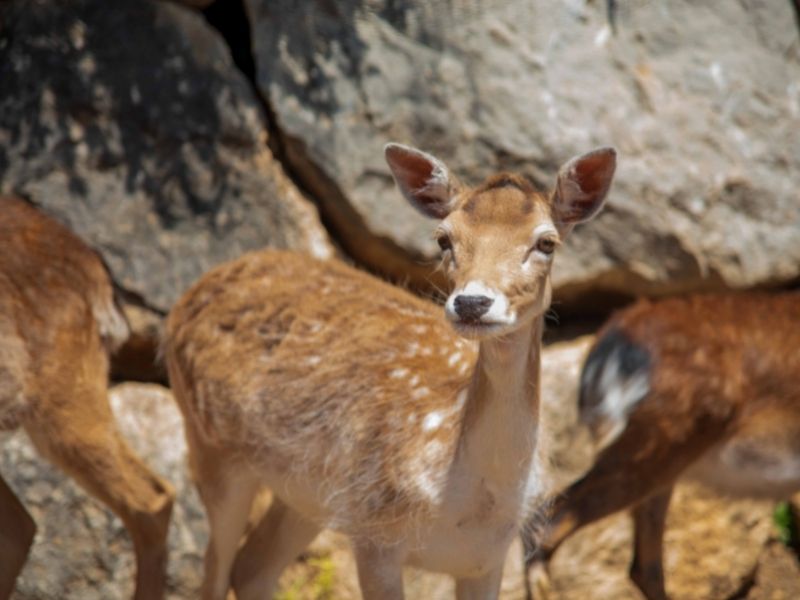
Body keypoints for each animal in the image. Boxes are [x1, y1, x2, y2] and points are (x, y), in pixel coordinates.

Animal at [161, 143, 612, 596]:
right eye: (444, 238)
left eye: (546, 242)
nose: (472, 303)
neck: (465, 501)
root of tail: (188, 296)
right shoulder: (374, 533)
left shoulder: (488, 556)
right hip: (212, 444)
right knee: (214, 570)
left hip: (307, 495)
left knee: (252, 567)